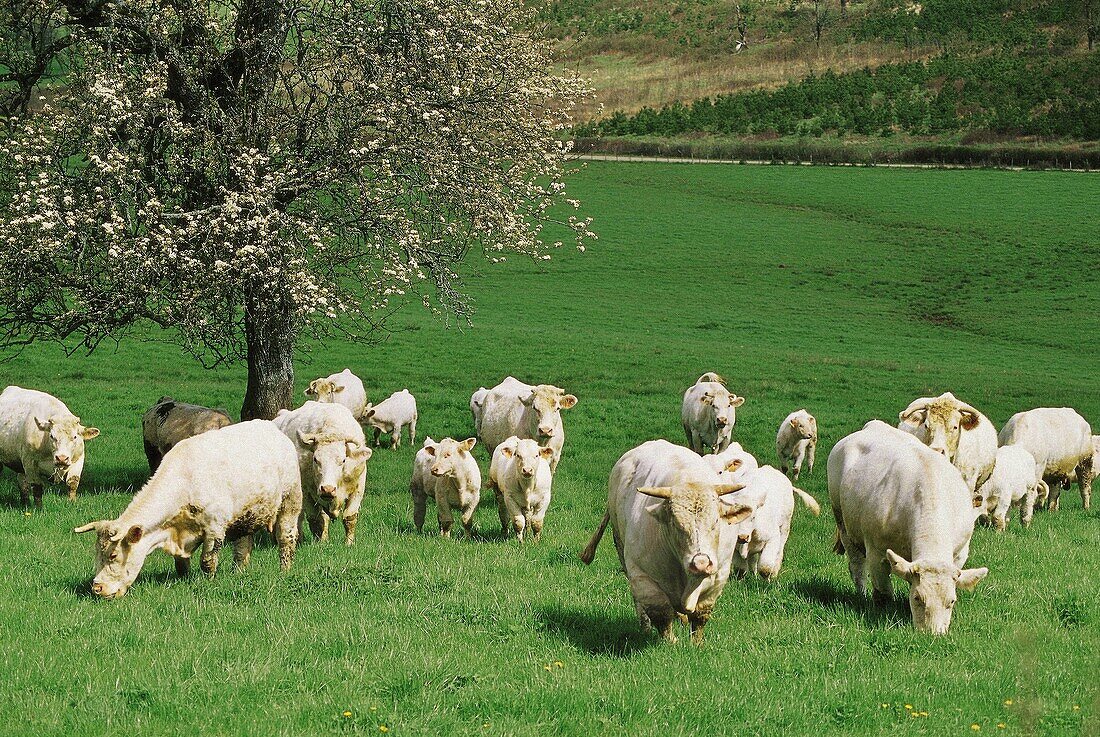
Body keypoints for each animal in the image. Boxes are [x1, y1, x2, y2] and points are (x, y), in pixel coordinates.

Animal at [73, 422, 301, 598]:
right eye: (96, 552)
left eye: (113, 555)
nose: (97, 588)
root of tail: (273, 428)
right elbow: (181, 564)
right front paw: (184, 579)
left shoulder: (215, 529)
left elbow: (207, 562)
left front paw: (208, 582)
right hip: (247, 516)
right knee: (243, 546)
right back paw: (238, 573)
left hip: (291, 502)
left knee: (286, 540)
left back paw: (285, 571)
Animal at [275, 400, 374, 545]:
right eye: (315, 459)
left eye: (343, 460)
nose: (327, 489)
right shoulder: (306, 493)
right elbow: (315, 520)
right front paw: (319, 544)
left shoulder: (358, 488)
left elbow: (349, 518)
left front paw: (349, 543)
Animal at [576, 442, 756, 642]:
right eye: (676, 524)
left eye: (716, 522)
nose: (701, 563)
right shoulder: (642, 576)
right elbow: (661, 614)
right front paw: (670, 642)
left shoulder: (718, 577)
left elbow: (700, 615)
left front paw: (697, 643)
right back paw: (646, 627)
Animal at [827, 422, 990, 633]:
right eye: (917, 598)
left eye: (952, 601)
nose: (933, 635)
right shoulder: (876, 552)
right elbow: (883, 593)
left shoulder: (960, 554)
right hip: (843, 524)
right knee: (856, 566)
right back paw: (861, 594)